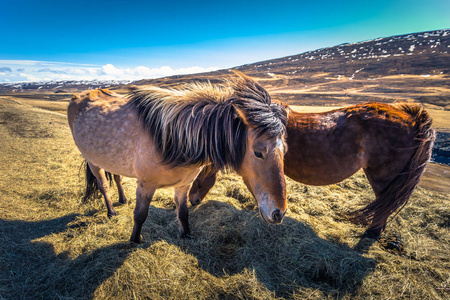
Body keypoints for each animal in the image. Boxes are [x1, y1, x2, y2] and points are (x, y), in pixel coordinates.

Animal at [68, 72, 290, 244]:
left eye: (284, 151)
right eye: (258, 152)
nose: (278, 213)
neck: (171, 138)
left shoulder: (184, 184)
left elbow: (183, 212)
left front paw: (186, 235)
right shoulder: (146, 185)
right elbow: (140, 215)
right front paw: (135, 240)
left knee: (117, 177)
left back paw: (122, 200)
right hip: (93, 162)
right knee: (103, 185)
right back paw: (111, 211)